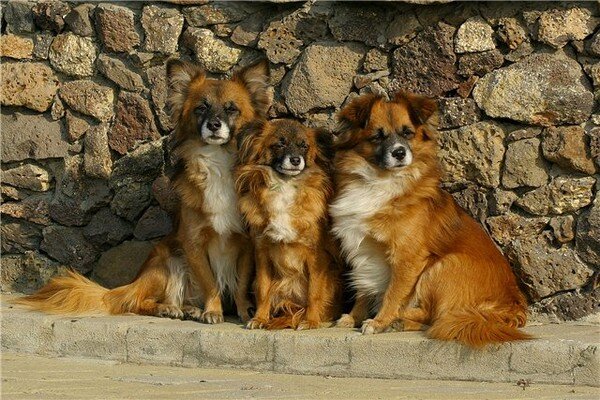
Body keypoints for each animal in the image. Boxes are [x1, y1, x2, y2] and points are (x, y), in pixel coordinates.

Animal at [14, 57, 272, 324]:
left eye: (232, 109)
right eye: (201, 108)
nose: (213, 125)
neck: (218, 161)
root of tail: (132, 283)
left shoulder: (246, 242)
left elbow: (241, 284)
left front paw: (245, 311)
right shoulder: (193, 244)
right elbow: (210, 282)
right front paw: (213, 311)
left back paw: (190, 309)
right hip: (167, 261)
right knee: (136, 301)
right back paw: (167, 308)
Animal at [237, 119, 344, 332]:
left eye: (304, 146)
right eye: (280, 144)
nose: (295, 160)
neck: (284, 187)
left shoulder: (316, 256)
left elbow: (314, 292)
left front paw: (311, 321)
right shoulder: (262, 252)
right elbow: (263, 289)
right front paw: (260, 318)